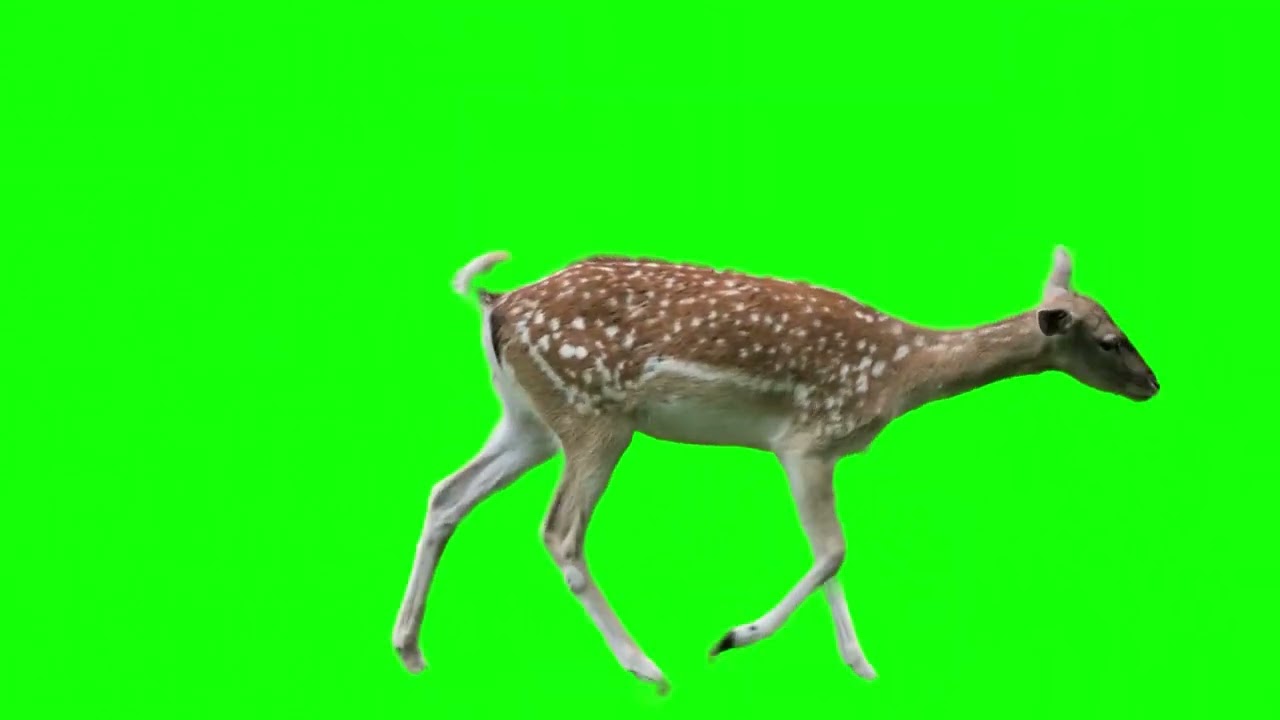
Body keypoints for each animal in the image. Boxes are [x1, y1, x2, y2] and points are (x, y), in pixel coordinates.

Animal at [391, 246, 1159, 693]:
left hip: (528, 419)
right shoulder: (808, 438)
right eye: (1109, 338)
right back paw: (648, 669)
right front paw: (732, 638)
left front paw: (860, 665)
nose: (1154, 385)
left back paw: (410, 648)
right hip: (594, 414)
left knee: (446, 493)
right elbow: (835, 553)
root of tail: (496, 303)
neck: (900, 374)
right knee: (560, 532)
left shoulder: (815, 451)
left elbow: (831, 557)